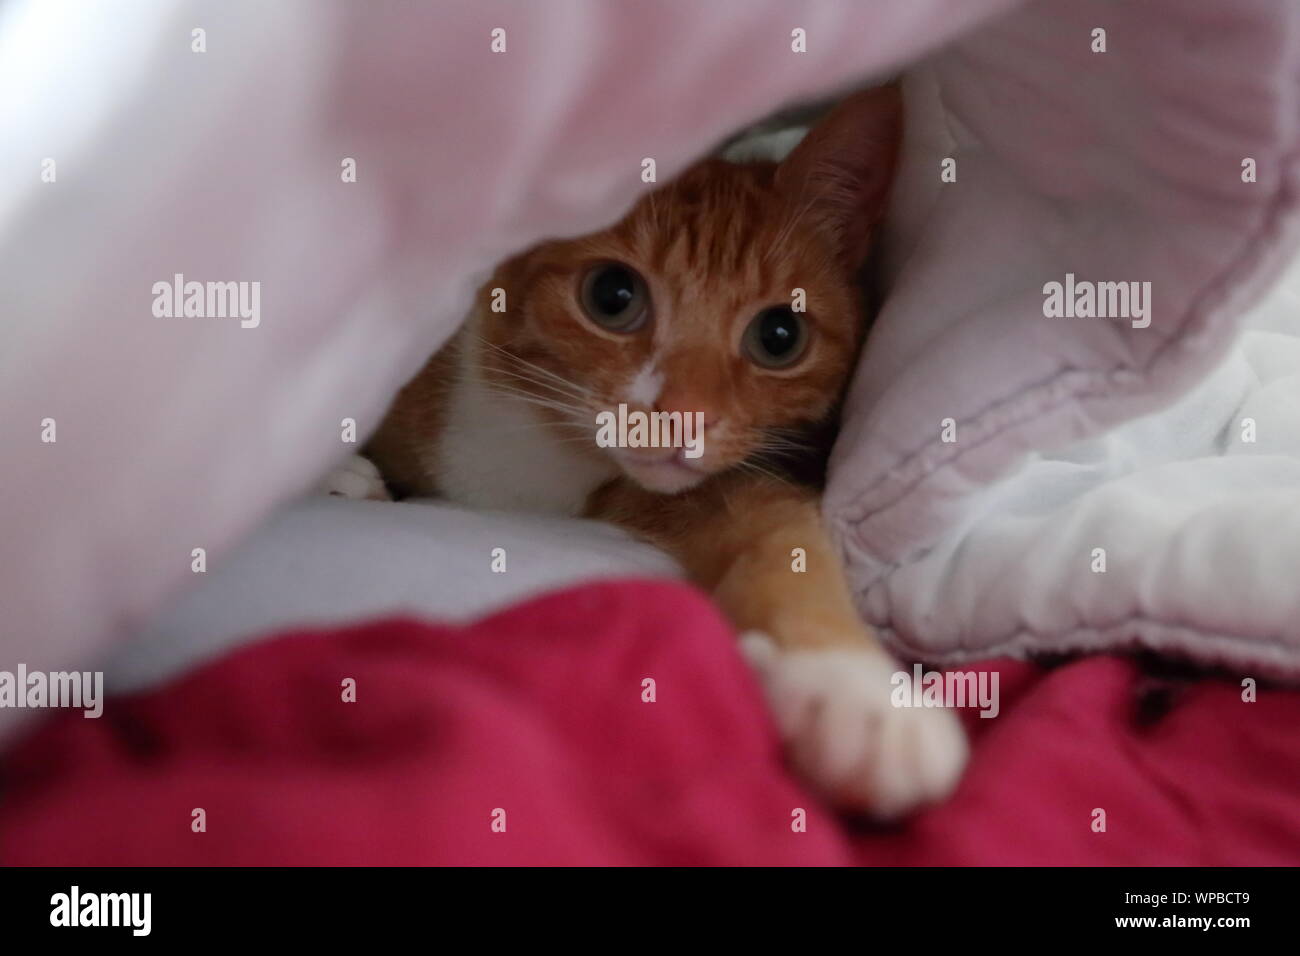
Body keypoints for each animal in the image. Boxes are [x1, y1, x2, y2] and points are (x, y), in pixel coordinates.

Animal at [335, 89, 967, 816]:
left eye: (780, 335)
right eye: (612, 296)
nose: (684, 419)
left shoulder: (711, 490)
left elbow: (781, 536)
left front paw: (851, 688)